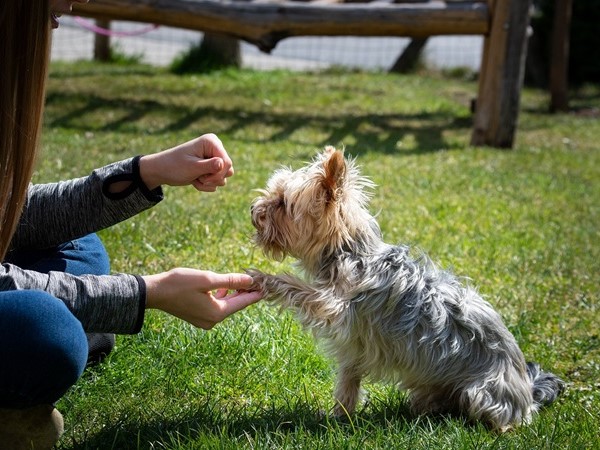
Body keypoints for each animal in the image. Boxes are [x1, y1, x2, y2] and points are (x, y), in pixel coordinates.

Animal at [246, 149, 564, 432]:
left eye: (282, 203)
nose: (252, 209)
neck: (349, 251)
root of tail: (528, 391)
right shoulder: (355, 345)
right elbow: (348, 380)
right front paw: (339, 416)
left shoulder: (334, 304)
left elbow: (297, 288)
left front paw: (262, 279)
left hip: (484, 392)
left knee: (502, 419)